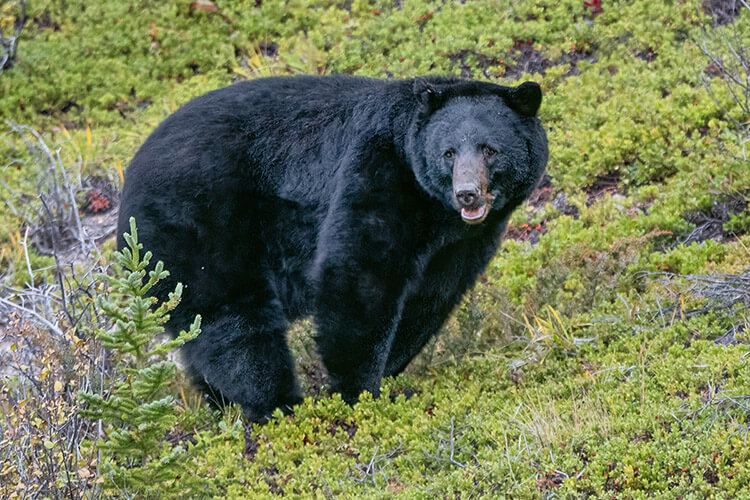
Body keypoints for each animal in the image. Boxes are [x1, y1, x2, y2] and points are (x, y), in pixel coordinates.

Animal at [119, 76, 552, 424]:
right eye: (449, 152)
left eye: (489, 149)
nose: (467, 193)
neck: (434, 209)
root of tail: (130, 176)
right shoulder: (377, 170)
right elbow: (359, 276)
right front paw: (358, 391)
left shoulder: (460, 241)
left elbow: (430, 297)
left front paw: (391, 370)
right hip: (202, 221)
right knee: (235, 323)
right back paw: (276, 405)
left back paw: (222, 404)